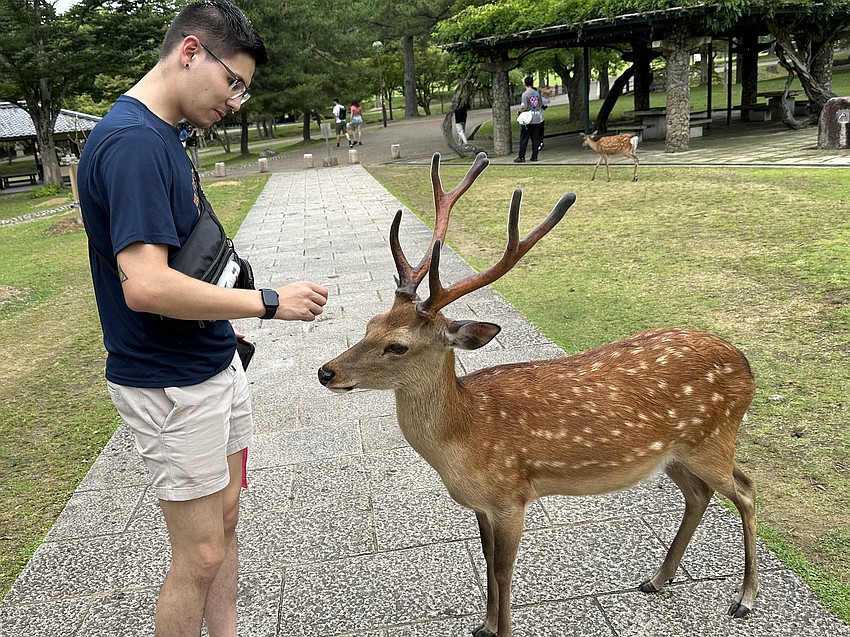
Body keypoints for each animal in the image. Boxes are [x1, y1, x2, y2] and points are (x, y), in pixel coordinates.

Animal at [317, 152, 758, 637]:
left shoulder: (512, 495)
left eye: (397, 345)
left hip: (711, 439)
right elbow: (487, 560)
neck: (464, 440)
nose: (325, 372)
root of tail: (745, 364)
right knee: (700, 495)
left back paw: (744, 599)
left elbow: (503, 570)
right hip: (674, 453)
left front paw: (501, 629)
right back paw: (658, 579)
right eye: (370, 324)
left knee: (746, 489)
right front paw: (484, 625)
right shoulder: (482, 505)